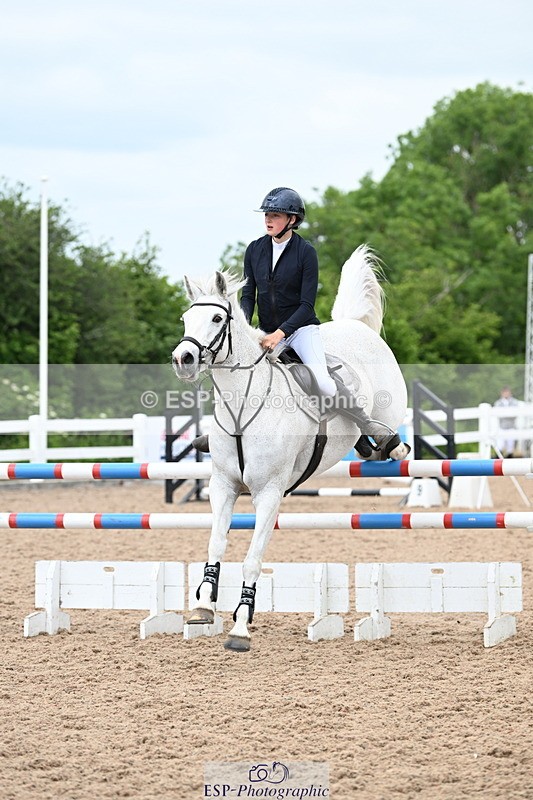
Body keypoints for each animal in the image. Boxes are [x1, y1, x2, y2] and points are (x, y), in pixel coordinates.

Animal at [172, 245, 409, 651]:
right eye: (187, 318)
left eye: (217, 318)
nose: (182, 359)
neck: (242, 406)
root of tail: (356, 326)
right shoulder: (223, 485)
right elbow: (216, 544)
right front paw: (203, 606)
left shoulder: (269, 493)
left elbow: (252, 559)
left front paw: (240, 627)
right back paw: (366, 445)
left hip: (388, 408)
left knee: (383, 430)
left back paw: (388, 443)